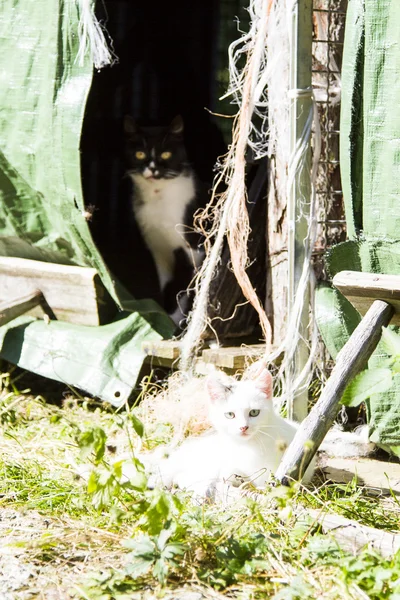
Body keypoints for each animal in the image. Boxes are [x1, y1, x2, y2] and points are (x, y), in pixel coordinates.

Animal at [124, 115, 206, 326]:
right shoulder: (158, 250)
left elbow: (185, 287)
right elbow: (167, 284)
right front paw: (165, 315)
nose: (153, 169)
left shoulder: (194, 249)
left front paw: (177, 318)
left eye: (167, 154)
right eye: (139, 154)